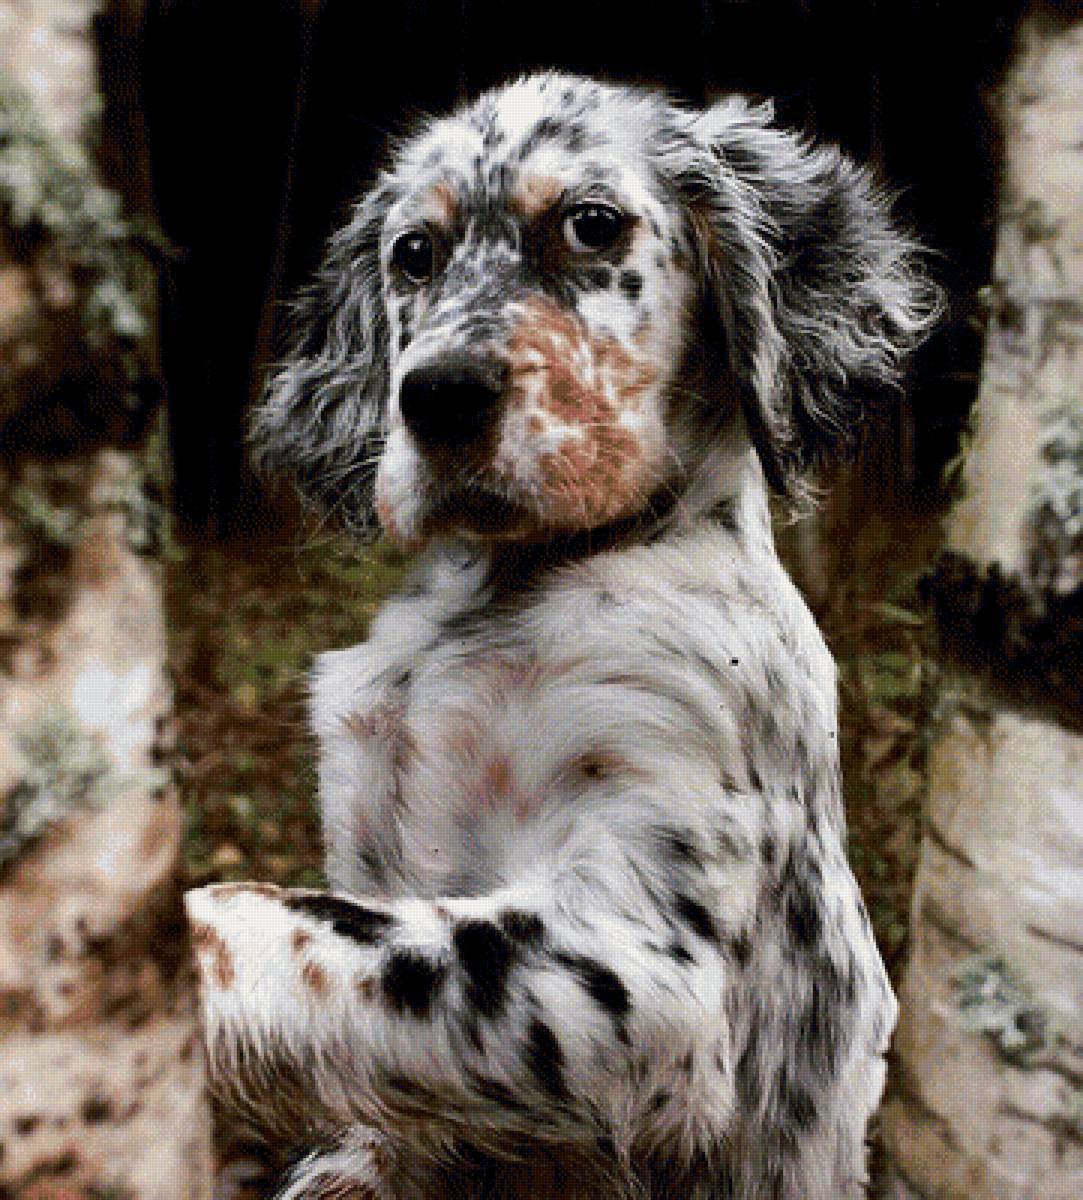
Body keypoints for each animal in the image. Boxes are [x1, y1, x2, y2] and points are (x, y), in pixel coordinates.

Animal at [184, 72, 937, 1198]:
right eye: (415, 253)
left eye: (592, 224)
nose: (437, 397)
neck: (511, 587)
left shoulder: (656, 974)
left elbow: (300, 932)